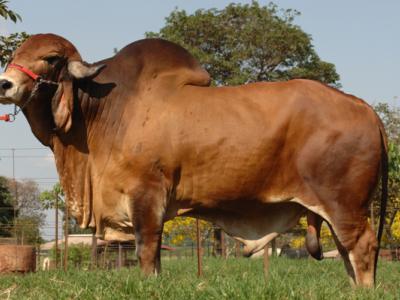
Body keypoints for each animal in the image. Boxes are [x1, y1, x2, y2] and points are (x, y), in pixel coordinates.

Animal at [0, 34, 388, 288]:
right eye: (16, 52)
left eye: (51, 59)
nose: (5, 84)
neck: (106, 111)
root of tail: (364, 107)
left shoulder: (146, 194)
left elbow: (147, 249)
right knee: (348, 253)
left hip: (345, 205)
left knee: (362, 247)